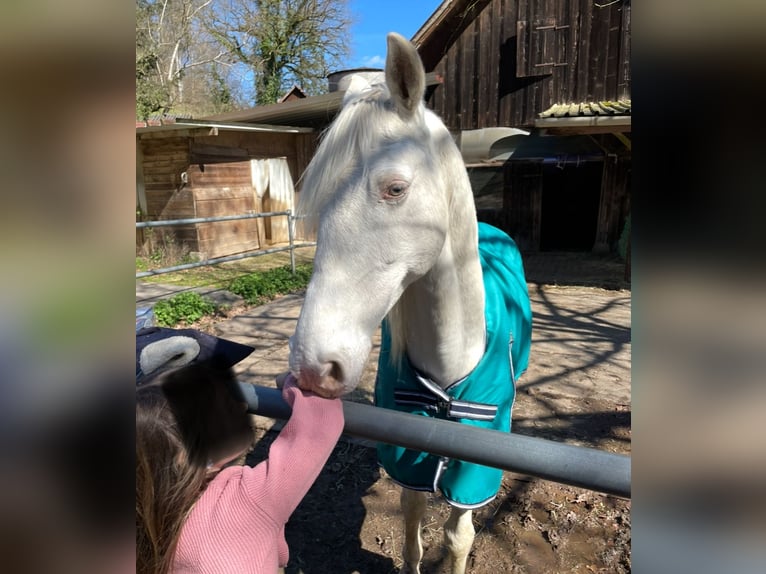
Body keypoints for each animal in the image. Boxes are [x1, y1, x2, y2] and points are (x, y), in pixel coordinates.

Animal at [292, 32, 532, 574]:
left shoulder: (474, 471)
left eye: (395, 188)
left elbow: (458, 537)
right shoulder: (408, 452)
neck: (451, 360)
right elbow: (411, 525)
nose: (314, 367)